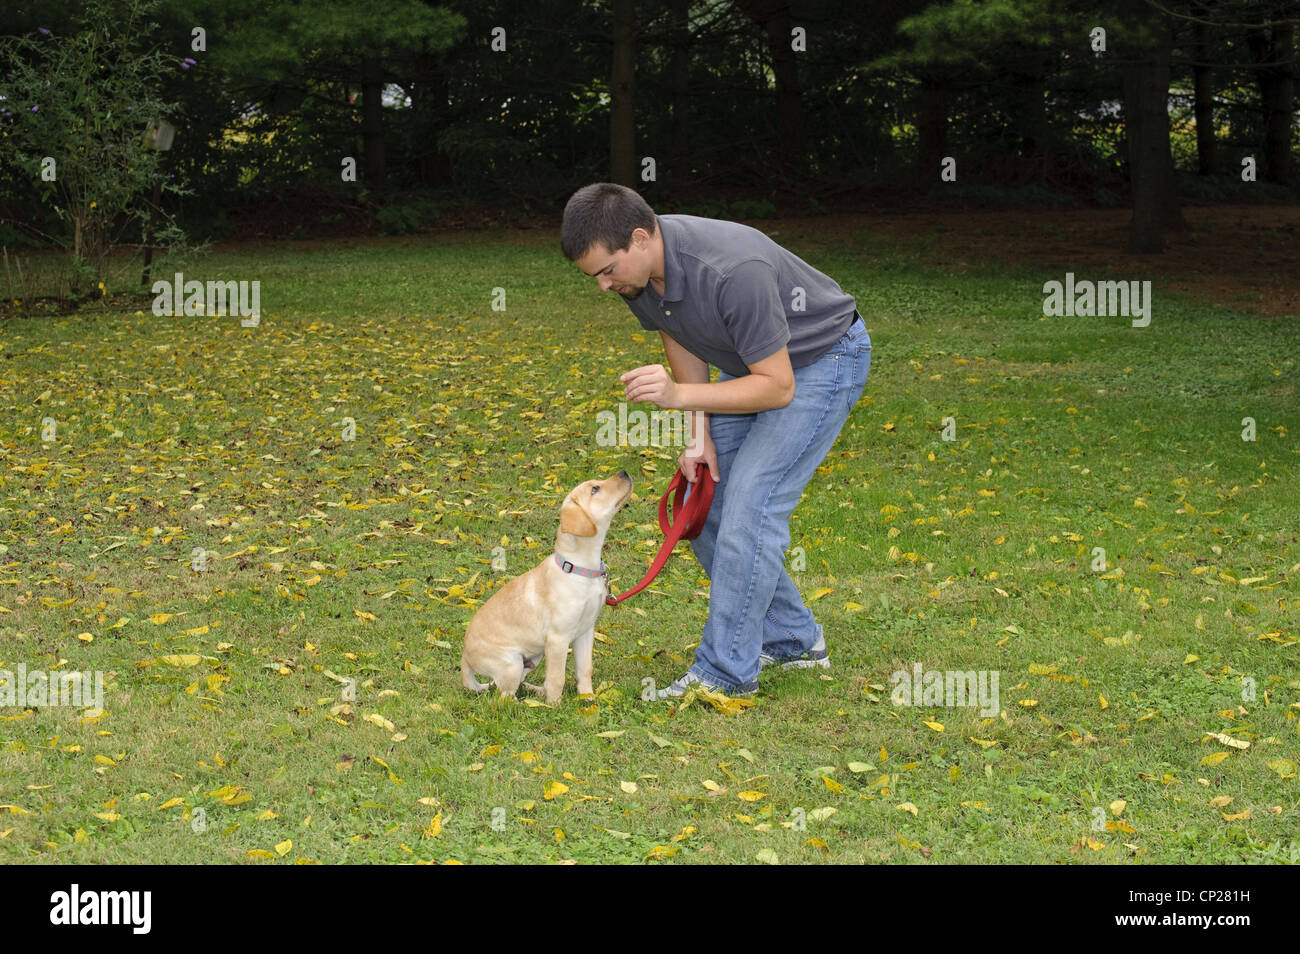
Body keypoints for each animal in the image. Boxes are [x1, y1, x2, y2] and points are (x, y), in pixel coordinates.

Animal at [462, 470, 634, 701]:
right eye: (595, 489)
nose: (624, 472)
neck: (580, 569)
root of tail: (464, 658)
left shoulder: (586, 631)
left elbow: (584, 669)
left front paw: (587, 699)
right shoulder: (557, 639)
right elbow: (556, 678)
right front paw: (554, 705)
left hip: (531, 659)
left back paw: (534, 691)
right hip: (512, 662)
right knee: (503, 698)